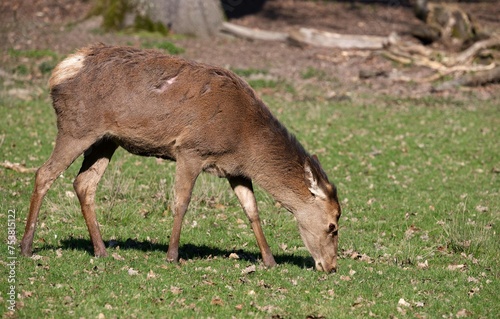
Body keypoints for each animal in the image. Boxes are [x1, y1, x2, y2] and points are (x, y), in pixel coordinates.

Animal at [19, 45, 340, 274]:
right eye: (333, 226)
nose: (331, 267)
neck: (245, 139)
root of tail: (61, 69)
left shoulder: (235, 170)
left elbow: (252, 210)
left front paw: (269, 260)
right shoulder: (190, 150)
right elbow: (182, 202)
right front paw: (172, 255)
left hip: (105, 139)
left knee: (84, 183)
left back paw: (101, 250)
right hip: (76, 128)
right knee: (44, 173)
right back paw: (26, 247)